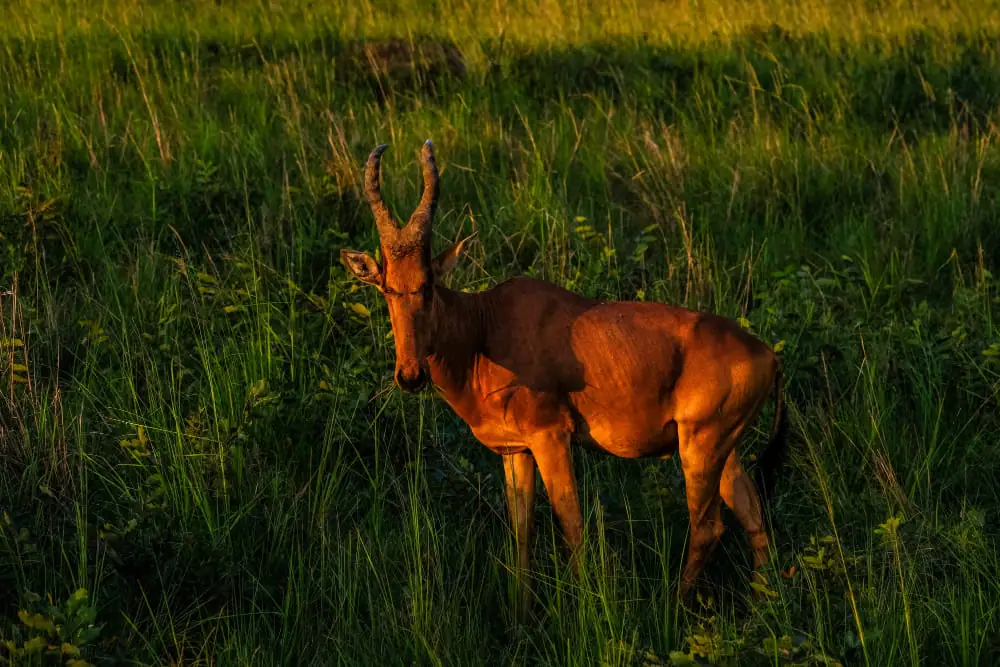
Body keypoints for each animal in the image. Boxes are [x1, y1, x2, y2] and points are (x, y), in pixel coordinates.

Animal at [340, 141, 788, 617]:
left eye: (427, 284)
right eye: (387, 287)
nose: (411, 375)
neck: (485, 326)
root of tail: (769, 356)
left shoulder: (551, 437)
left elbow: (571, 524)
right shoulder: (516, 450)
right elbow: (522, 531)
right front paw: (522, 615)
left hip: (700, 446)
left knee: (708, 526)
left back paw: (673, 607)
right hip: (725, 446)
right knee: (752, 514)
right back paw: (762, 606)